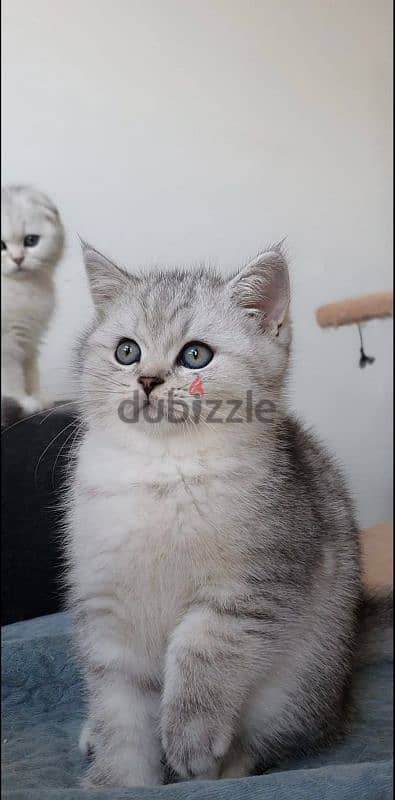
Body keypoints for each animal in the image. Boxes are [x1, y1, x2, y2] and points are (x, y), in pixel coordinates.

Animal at [1, 184, 64, 422]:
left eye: (31, 241)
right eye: (1, 245)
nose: (18, 259)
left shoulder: (29, 339)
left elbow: (30, 372)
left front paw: (38, 398)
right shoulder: (6, 343)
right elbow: (12, 377)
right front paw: (24, 401)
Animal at [67, 244, 380, 788]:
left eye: (195, 355)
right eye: (126, 351)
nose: (147, 380)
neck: (162, 471)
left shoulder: (252, 586)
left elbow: (202, 650)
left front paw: (189, 737)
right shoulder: (105, 609)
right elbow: (118, 710)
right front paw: (119, 780)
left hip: (298, 686)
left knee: (267, 740)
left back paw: (223, 765)